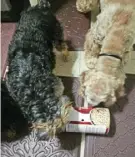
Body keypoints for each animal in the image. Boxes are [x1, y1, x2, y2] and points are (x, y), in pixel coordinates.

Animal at [4, 0, 69, 140]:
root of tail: (41, 7)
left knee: (62, 44)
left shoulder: (53, 81)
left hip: (55, 30)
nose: (62, 130)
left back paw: (66, 55)